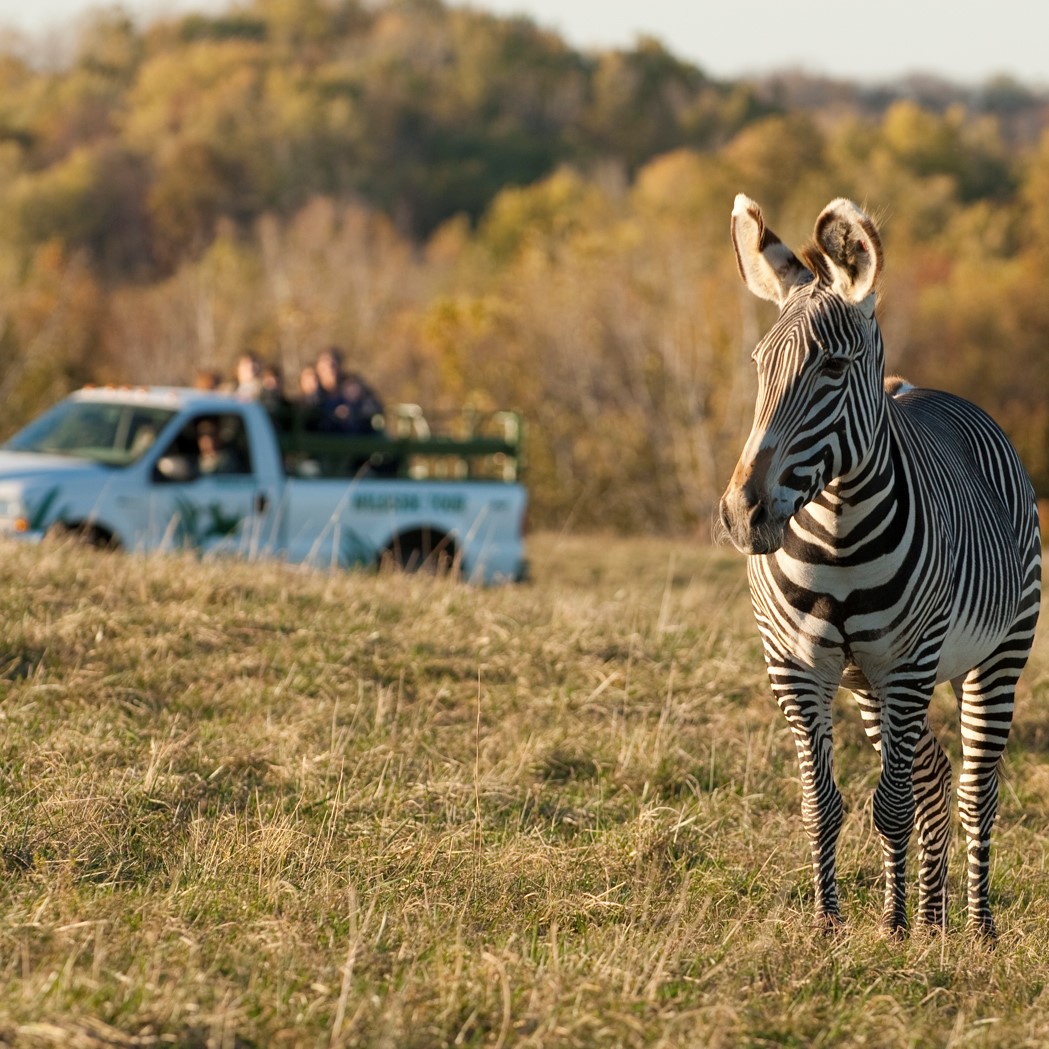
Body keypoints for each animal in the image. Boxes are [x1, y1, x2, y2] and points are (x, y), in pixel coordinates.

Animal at [721, 193, 1040, 939]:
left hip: (996, 656)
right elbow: (824, 803)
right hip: (869, 684)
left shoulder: (908, 662)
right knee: (931, 774)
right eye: (758, 364)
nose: (743, 512)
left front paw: (891, 932)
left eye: (832, 369)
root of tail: (916, 387)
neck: (838, 537)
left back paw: (975, 926)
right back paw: (927, 917)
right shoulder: (797, 667)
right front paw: (831, 924)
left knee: (974, 788)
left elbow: (889, 805)